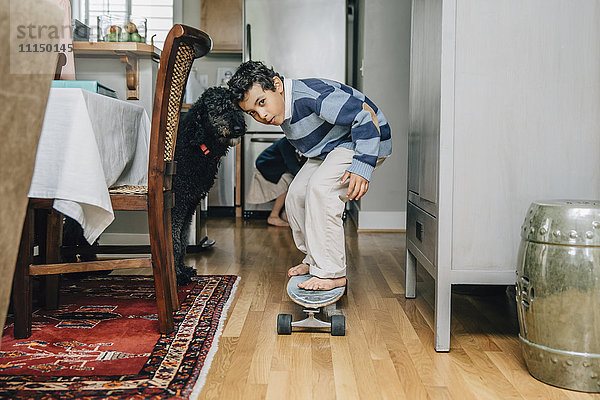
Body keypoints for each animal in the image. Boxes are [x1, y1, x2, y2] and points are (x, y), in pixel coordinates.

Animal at [171, 87, 246, 284]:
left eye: (236, 108)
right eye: (218, 109)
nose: (239, 128)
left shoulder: (189, 204)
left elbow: (182, 239)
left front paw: (183, 269)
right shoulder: (176, 205)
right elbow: (174, 240)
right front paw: (178, 276)